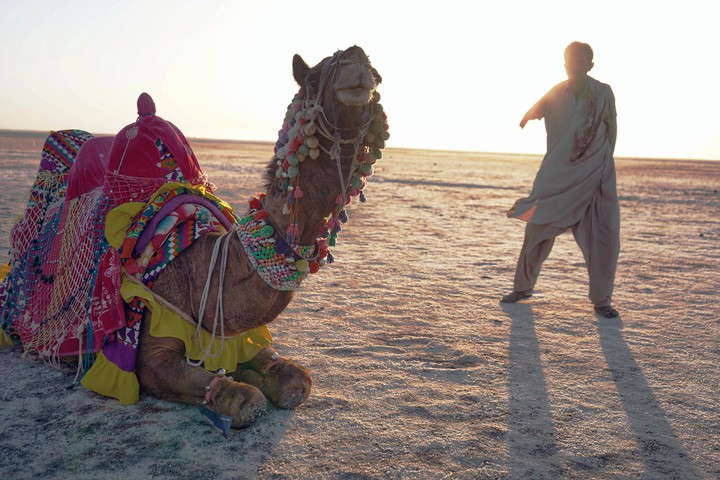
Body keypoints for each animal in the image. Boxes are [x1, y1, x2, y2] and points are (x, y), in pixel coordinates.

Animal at [0, 45, 388, 431]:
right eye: (311, 79)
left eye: (376, 74)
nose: (356, 60)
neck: (205, 265)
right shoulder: (151, 349)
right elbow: (245, 399)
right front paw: (240, 389)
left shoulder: (243, 337)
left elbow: (297, 380)